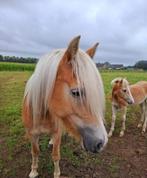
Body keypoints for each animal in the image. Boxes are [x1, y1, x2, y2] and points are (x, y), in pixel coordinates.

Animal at [22, 35, 108, 178]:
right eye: (76, 92)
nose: (101, 143)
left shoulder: (57, 133)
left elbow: (56, 155)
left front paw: (57, 173)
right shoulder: (32, 134)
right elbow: (35, 152)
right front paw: (33, 171)